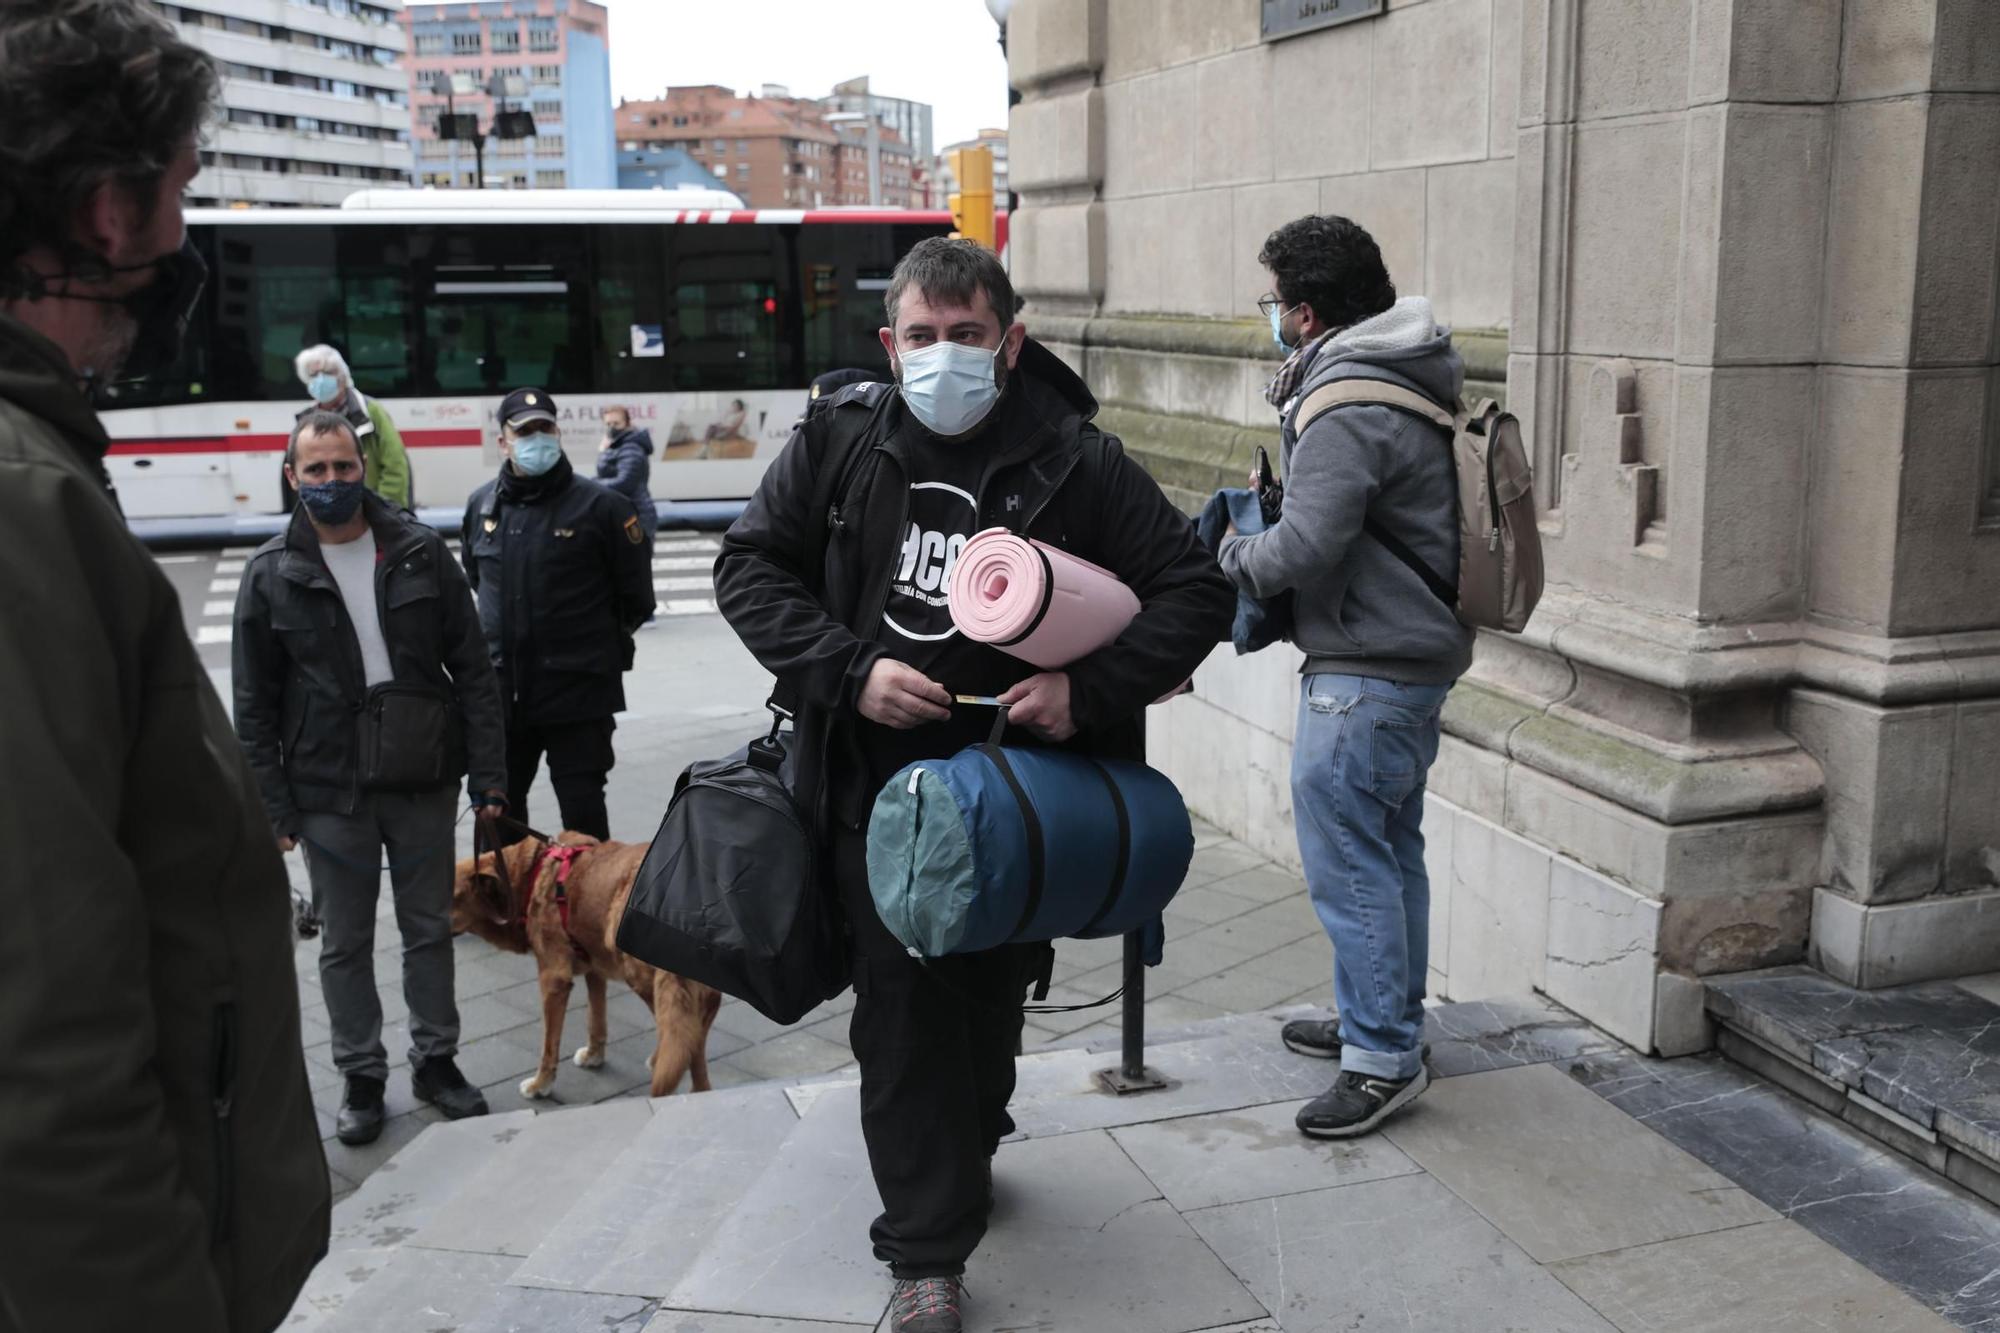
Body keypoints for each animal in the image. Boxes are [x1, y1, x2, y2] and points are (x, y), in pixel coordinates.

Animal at [450, 836, 724, 1096]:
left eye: (450, 897)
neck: (529, 877)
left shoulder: (553, 980)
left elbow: (549, 1045)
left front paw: (541, 1084)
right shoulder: (595, 969)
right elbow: (595, 1018)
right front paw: (594, 1055)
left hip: (642, 972)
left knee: (688, 1030)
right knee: (698, 1022)